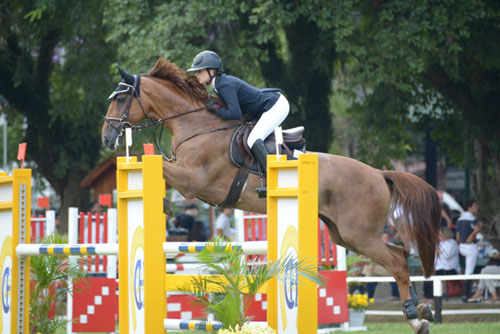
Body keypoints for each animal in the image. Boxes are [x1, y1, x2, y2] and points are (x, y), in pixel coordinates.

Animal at [102, 57, 442, 334]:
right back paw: (421, 311)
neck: (196, 124)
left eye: (122, 99)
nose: (106, 138)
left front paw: (163, 206)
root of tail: (378, 174)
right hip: (344, 234)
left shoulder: (194, 180)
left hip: (360, 234)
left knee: (396, 261)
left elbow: (163, 172)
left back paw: (417, 317)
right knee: (398, 255)